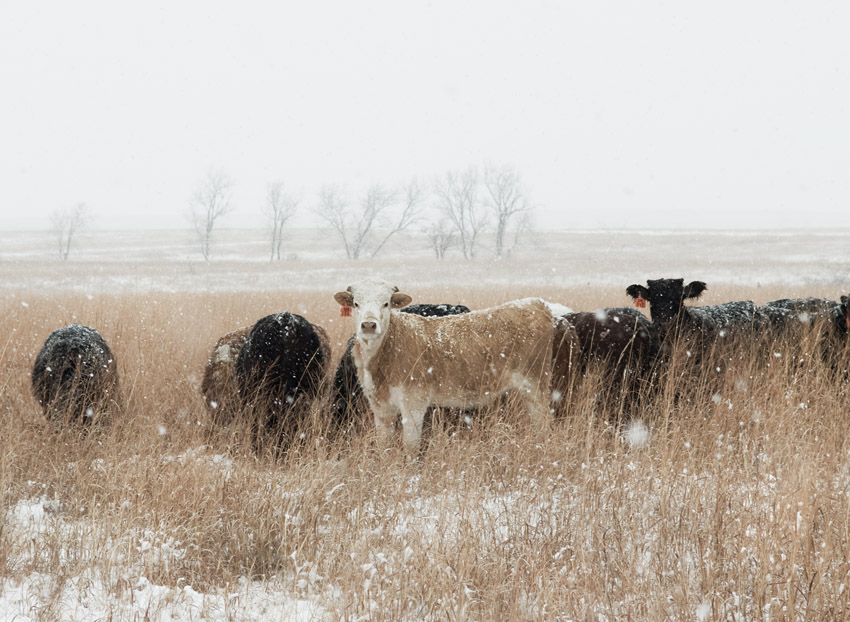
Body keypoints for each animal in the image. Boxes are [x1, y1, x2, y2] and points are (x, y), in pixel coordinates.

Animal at [332, 280, 556, 454]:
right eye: (356, 303)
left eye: (386, 303)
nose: (369, 325)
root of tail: (535, 303)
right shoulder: (380, 406)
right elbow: (383, 444)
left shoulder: (414, 403)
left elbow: (410, 446)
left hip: (535, 385)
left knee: (544, 423)